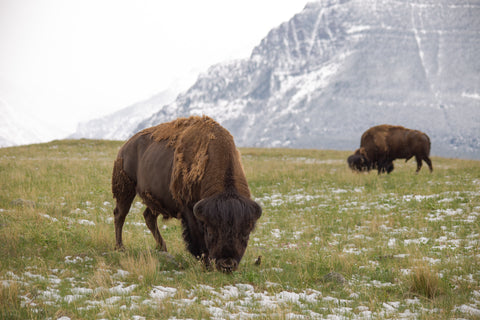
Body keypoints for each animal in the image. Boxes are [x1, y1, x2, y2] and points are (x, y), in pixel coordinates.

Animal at [111, 116, 262, 272]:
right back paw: (120, 248)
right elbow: (198, 239)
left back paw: (162, 248)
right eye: (211, 231)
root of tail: (126, 146)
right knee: (120, 215)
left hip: (154, 199)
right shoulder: (189, 211)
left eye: (246, 233)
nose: (227, 265)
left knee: (148, 217)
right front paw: (206, 264)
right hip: (125, 189)